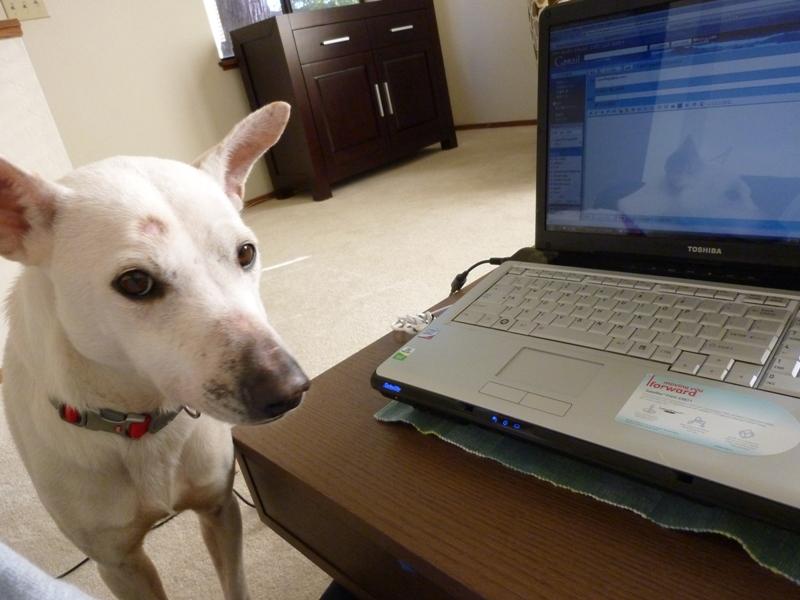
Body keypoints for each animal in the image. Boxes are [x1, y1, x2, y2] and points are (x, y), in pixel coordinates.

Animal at [1, 101, 309, 600]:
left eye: (246, 253)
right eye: (136, 283)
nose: (289, 390)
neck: (139, 416)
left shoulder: (220, 509)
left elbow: (236, 581)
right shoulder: (118, 562)